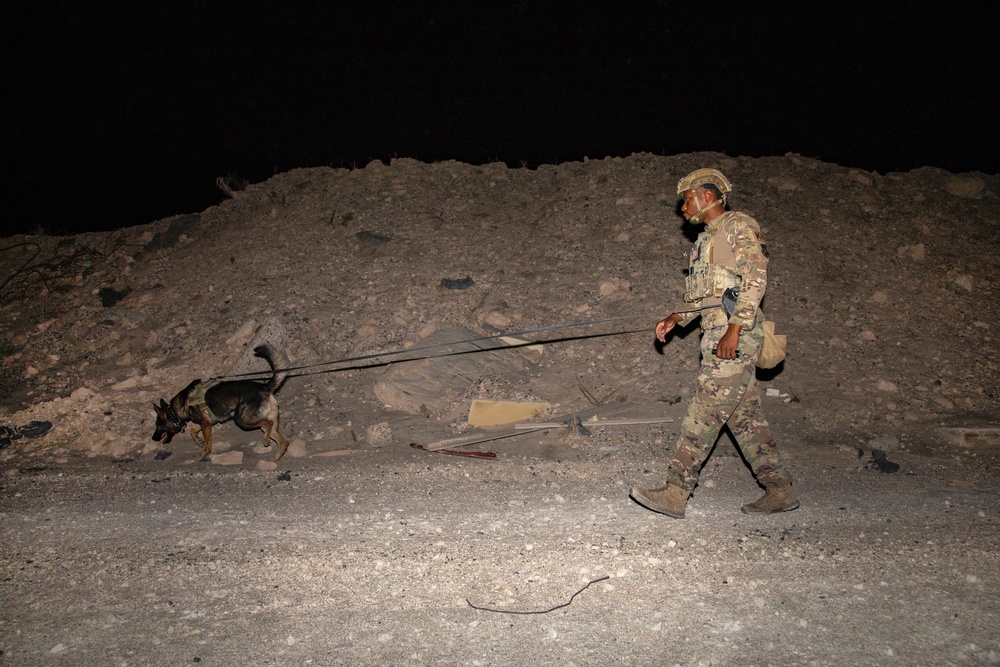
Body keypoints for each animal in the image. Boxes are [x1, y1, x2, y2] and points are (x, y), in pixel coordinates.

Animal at [152, 348, 292, 462]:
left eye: (158, 424)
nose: (153, 438)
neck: (180, 406)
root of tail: (263, 387)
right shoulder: (207, 422)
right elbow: (192, 430)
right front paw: (198, 441)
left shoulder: (205, 424)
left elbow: (207, 444)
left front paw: (203, 453)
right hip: (262, 422)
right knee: (283, 441)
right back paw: (275, 458)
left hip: (241, 420)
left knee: (268, 424)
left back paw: (266, 441)